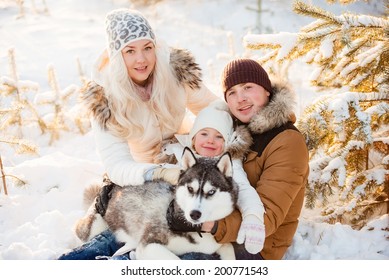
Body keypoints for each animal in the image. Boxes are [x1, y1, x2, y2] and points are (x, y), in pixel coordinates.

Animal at [75, 149, 238, 260]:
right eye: (190, 189)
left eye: (211, 192)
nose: (194, 214)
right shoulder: (149, 243)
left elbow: (229, 248)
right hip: (93, 225)